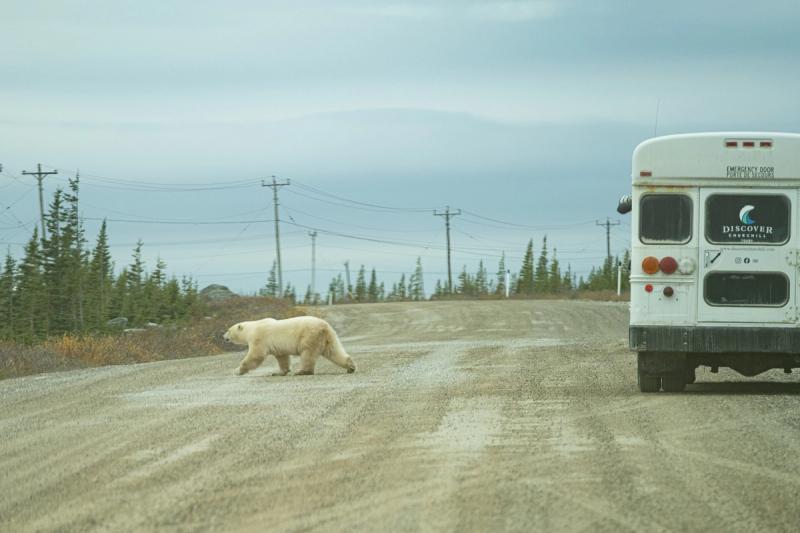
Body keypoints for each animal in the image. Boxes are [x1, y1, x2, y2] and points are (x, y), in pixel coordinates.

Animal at [223, 316, 356, 376]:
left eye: (228, 330)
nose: (223, 337)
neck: (251, 329)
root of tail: (324, 326)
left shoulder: (259, 338)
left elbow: (256, 355)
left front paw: (237, 370)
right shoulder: (278, 347)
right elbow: (282, 357)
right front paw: (279, 372)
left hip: (309, 336)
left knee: (308, 354)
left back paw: (302, 371)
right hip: (329, 337)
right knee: (334, 351)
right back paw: (351, 367)